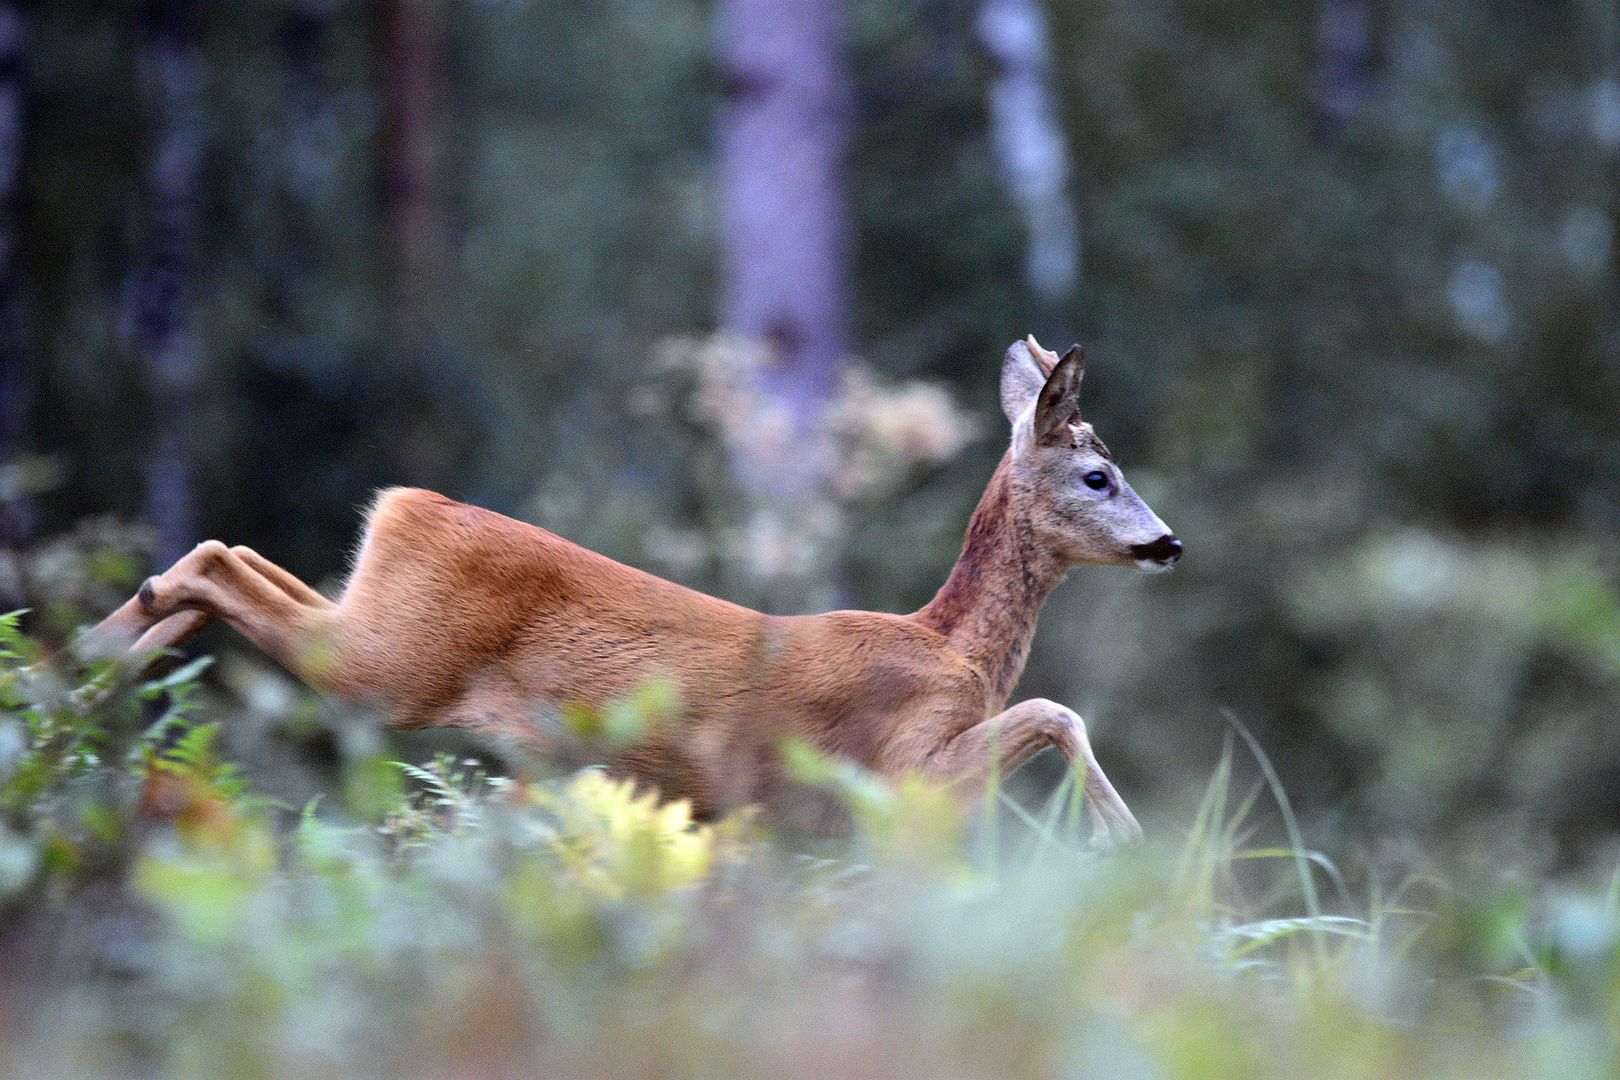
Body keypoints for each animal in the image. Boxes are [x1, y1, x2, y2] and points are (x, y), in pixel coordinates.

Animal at [94, 338, 1179, 841]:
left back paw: (89, 666)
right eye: (1099, 475)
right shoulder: (895, 768)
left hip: (376, 620)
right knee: (218, 560)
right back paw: (92, 662)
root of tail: (407, 503)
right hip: (387, 665)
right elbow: (1055, 708)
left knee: (229, 553)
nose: (1168, 544)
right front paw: (1120, 837)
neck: (954, 648)